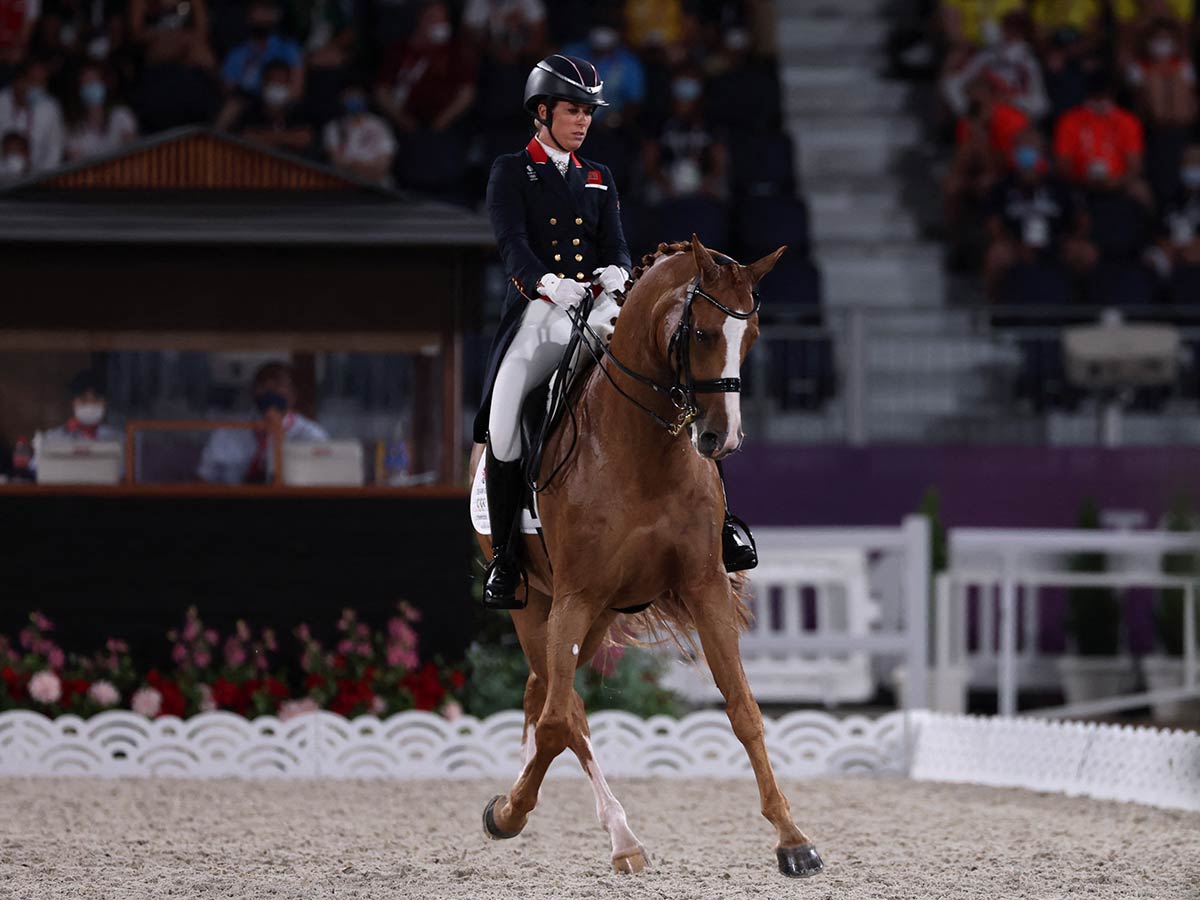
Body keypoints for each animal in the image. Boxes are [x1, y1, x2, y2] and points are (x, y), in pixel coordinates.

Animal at [468, 234, 825, 883]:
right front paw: (508, 813)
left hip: (601, 612)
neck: (640, 449)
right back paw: (609, 834)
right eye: (702, 334)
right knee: (562, 705)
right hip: (537, 604)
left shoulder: (705, 586)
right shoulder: (576, 596)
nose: (721, 440)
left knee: (543, 690)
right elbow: (558, 723)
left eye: (753, 334)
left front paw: (793, 840)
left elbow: (744, 709)